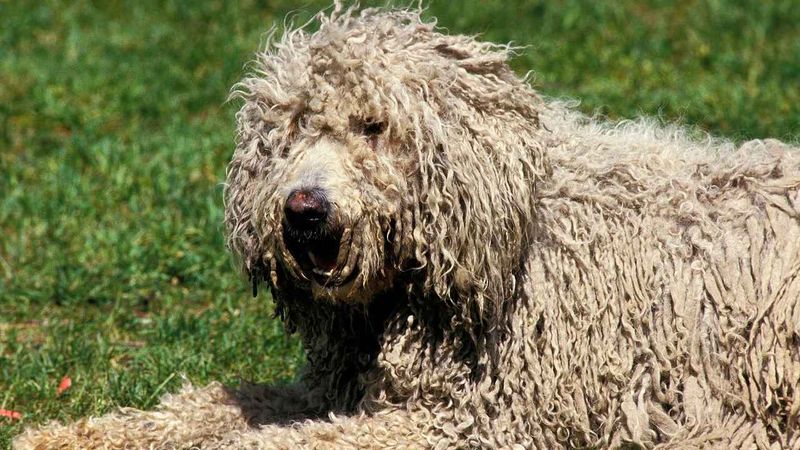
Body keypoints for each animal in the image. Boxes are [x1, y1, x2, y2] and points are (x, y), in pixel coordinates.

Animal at [14, 3, 800, 450]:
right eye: (293, 129)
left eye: (373, 127)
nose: (304, 210)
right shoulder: (328, 393)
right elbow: (196, 408)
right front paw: (72, 434)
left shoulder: (469, 421)